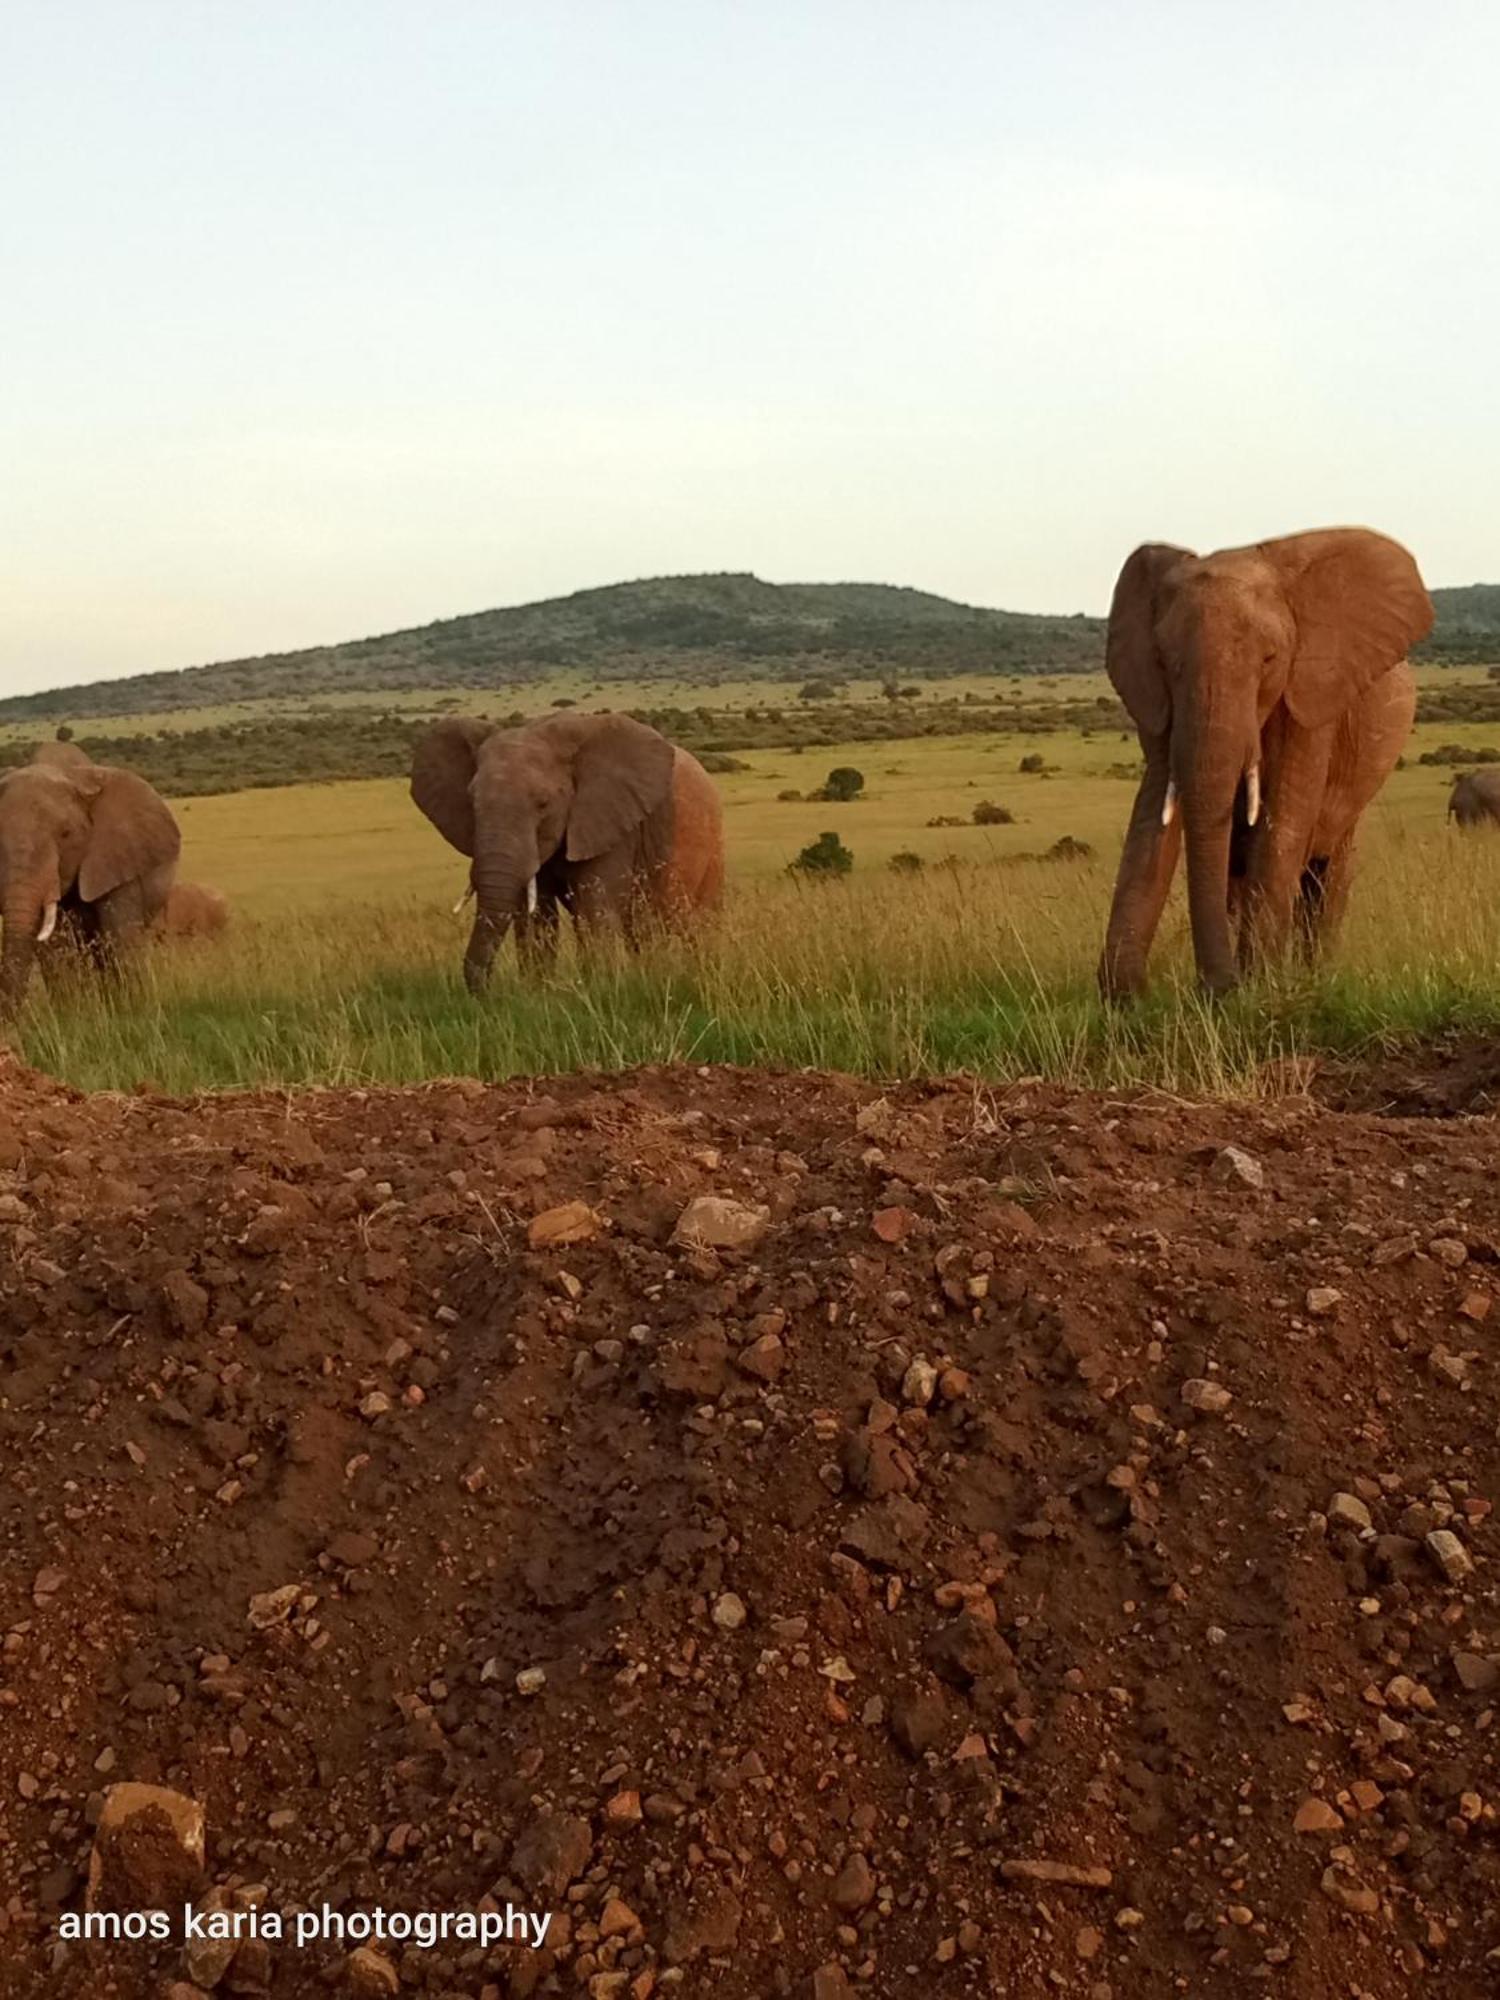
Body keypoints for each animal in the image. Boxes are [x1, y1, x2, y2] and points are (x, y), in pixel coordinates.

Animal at [0, 740, 181, 1016]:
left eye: (65, 834)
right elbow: (58, 950)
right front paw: (72, 1015)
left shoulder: (117, 857)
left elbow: (119, 940)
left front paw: (131, 1011)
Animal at [412, 712, 728, 992]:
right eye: (471, 802)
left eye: (543, 803)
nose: (485, 995)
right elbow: (536, 916)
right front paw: (538, 994)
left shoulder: (609, 823)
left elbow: (594, 909)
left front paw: (602, 988)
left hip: (712, 848)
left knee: (695, 926)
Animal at [1104, 532, 1432, 1000]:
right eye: (1165, 663)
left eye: (1269, 660)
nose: (1215, 989)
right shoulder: (1155, 701)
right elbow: (1153, 812)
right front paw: (1124, 998)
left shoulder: (1312, 697)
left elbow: (1285, 822)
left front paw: (1259, 987)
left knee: (1327, 878)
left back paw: (1314, 977)